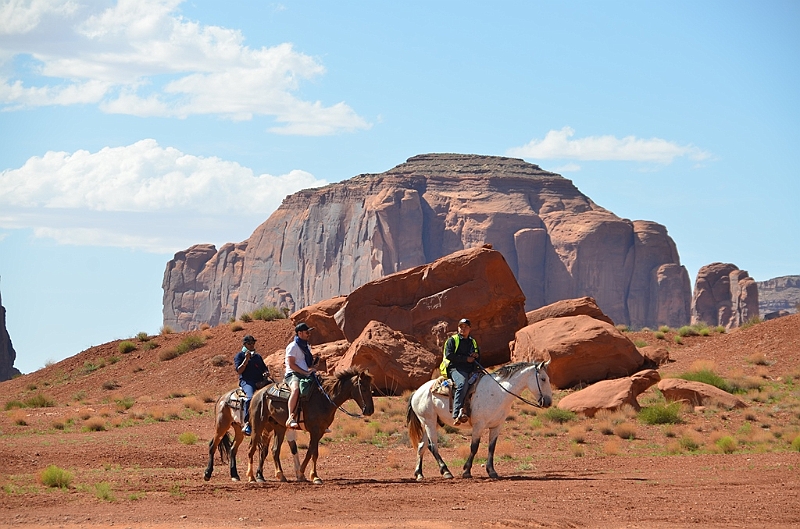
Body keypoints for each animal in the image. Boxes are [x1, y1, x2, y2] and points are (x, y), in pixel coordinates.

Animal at [245, 370, 374, 484]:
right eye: (363, 388)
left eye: (370, 388)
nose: (370, 410)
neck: (324, 399)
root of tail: (258, 393)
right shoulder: (315, 430)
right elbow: (312, 452)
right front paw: (309, 475)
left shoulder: (320, 431)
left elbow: (312, 452)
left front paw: (308, 475)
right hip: (258, 426)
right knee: (252, 448)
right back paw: (251, 477)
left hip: (279, 428)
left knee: (274, 450)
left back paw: (280, 475)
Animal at [406, 360, 552, 480]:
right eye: (543, 379)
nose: (548, 402)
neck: (498, 391)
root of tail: (416, 392)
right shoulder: (479, 425)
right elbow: (474, 447)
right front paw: (466, 471)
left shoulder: (496, 426)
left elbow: (491, 447)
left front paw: (492, 471)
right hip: (429, 422)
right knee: (433, 446)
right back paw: (446, 471)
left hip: (430, 423)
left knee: (422, 446)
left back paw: (419, 474)